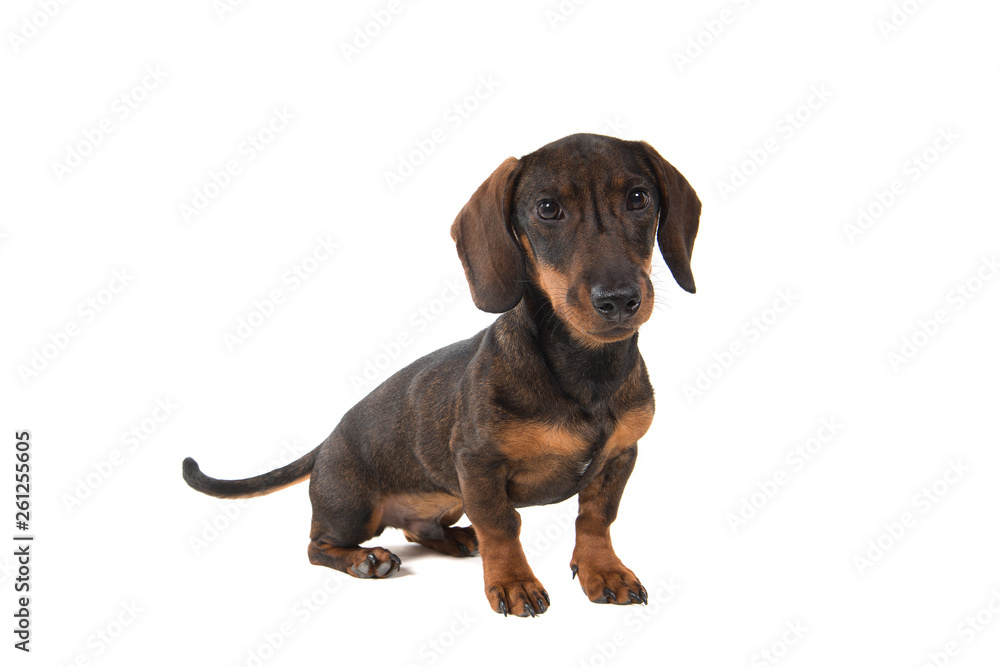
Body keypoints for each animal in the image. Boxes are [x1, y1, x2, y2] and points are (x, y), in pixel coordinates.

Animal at [188, 133, 704, 620]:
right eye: (548, 209)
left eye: (638, 198)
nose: (618, 300)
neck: (586, 372)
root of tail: (328, 439)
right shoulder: (477, 464)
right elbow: (502, 525)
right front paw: (513, 582)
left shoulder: (620, 456)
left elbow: (596, 519)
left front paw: (604, 570)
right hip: (352, 508)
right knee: (318, 545)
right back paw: (365, 560)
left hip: (445, 497)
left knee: (419, 528)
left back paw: (456, 539)